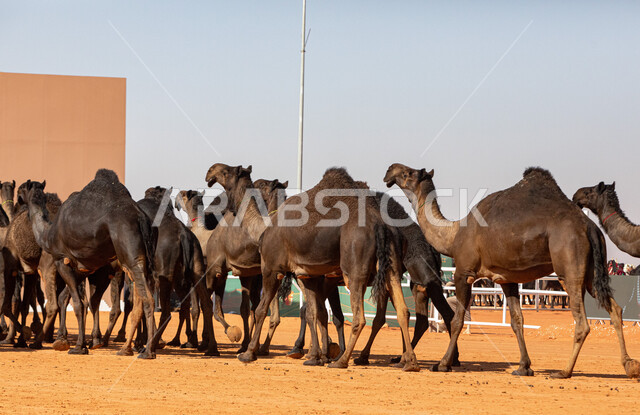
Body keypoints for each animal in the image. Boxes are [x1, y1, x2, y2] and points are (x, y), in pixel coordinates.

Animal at [20, 170, 158, 358]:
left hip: (129, 254)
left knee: (146, 298)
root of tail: (140, 217)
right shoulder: (84, 269)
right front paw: (82, 341)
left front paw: (78, 346)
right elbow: (82, 301)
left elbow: (78, 304)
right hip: (141, 260)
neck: (48, 234)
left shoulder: (62, 261)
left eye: (21, 189)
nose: (18, 199)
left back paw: (147, 351)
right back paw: (126, 348)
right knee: (137, 297)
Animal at [222, 166, 419, 371]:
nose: (230, 208)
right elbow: (316, 313)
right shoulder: (309, 275)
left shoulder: (274, 269)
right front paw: (317, 355)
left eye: (259, 185)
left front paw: (249, 353)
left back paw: (343, 360)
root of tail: (382, 227)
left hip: (354, 271)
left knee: (361, 317)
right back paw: (407, 361)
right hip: (391, 269)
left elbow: (265, 309)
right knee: (402, 311)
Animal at [384, 163, 640, 378]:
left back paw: (564, 371)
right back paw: (629, 365)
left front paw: (443, 363)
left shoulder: (463, 273)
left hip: (569, 271)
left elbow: (457, 320)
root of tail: (590, 228)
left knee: (582, 322)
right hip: (592, 275)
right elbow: (517, 320)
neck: (453, 234)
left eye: (408, 173)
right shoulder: (507, 279)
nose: (389, 171)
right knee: (615, 310)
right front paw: (524, 367)